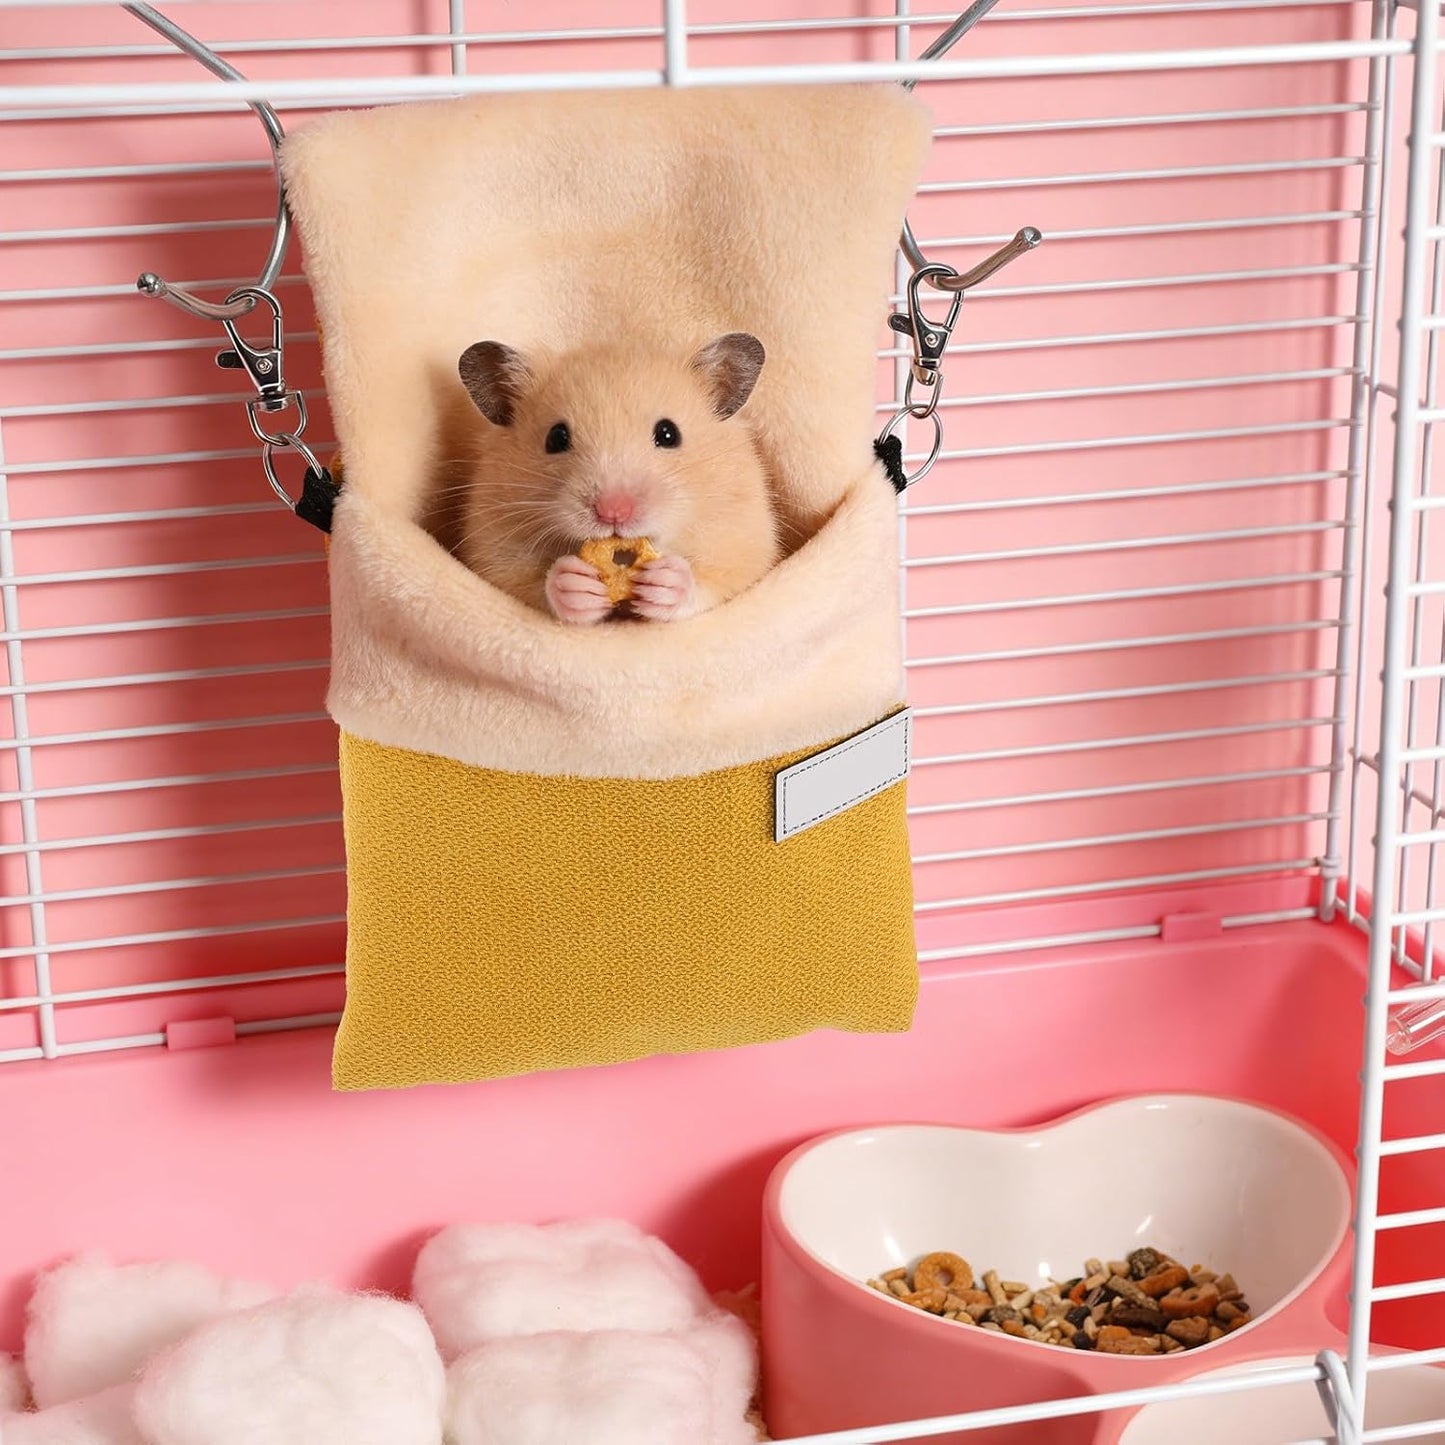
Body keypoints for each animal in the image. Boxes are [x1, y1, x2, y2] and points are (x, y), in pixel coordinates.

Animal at [453, 332, 780, 624]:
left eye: (669, 433)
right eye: (556, 438)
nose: (613, 513)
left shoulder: (746, 543)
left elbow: (716, 583)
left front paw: (666, 581)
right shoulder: (493, 551)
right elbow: (531, 583)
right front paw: (575, 584)